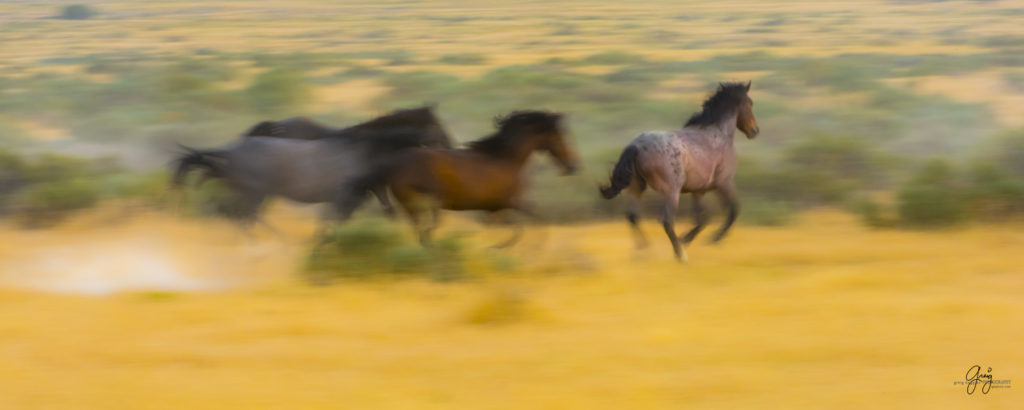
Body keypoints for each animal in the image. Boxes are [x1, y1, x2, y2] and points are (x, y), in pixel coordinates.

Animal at [344, 109, 581, 247]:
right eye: (558, 136)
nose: (572, 165)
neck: (505, 158)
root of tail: (394, 162)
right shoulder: (512, 203)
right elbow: (528, 225)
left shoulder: (496, 209)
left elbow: (514, 228)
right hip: (421, 203)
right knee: (424, 229)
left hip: (418, 206)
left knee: (421, 229)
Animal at [598, 82, 761, 262]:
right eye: (749, 103)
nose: (754, 130)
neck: (718, 135)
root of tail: (635, 146)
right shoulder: (724, 183)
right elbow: (733, 210)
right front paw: (713, 238)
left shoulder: (699, 191)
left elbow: (702, 219)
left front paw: (686, 238)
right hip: (672, 191)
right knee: (666, 221)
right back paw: (680, 254)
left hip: (636, 187)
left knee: (632, 216)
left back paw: (643, 251)